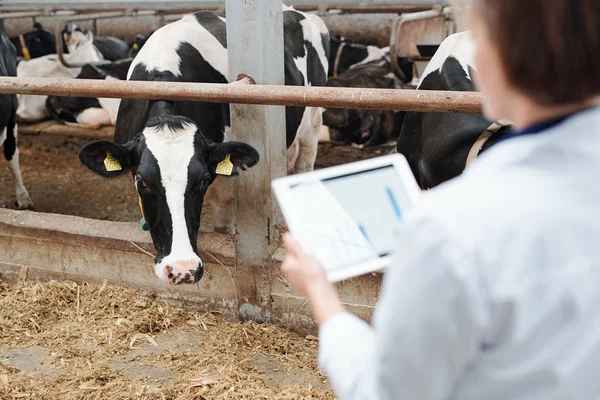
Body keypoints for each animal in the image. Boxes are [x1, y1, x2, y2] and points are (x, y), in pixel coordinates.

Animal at [77, 7, 330, 286]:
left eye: (203, 180)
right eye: (141, 182)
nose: (182, 270)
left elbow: (223, 225)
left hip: (313, 120)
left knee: (305, 164)